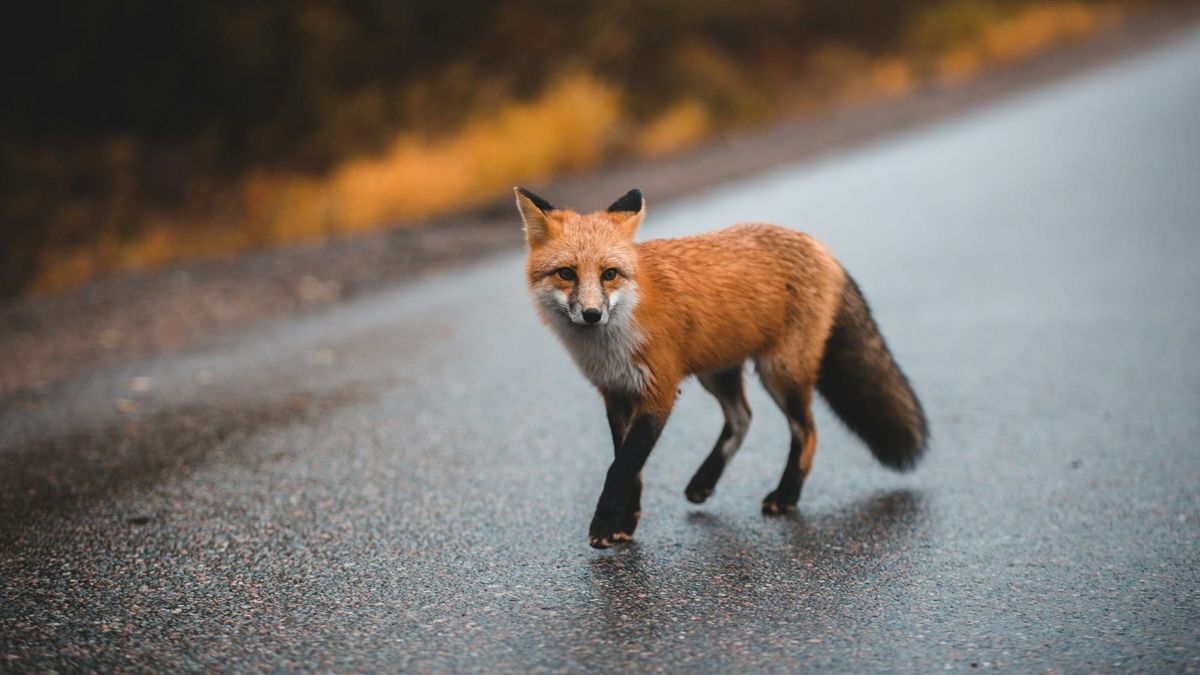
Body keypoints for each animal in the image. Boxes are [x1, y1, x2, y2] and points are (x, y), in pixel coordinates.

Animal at [516, 186, 927, 548]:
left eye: (609, 274)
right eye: (567, 273)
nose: (591, 314)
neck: (613, 340)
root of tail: (818, 245)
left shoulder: (659, 392)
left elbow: (621, 467)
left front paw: (604, 524)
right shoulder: (617, 394)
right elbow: (630, 468)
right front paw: (625, 523)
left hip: (780, 373)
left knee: (806, 431)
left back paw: (786, 495)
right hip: (716, 373)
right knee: (742, 418)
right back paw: (705, 481)